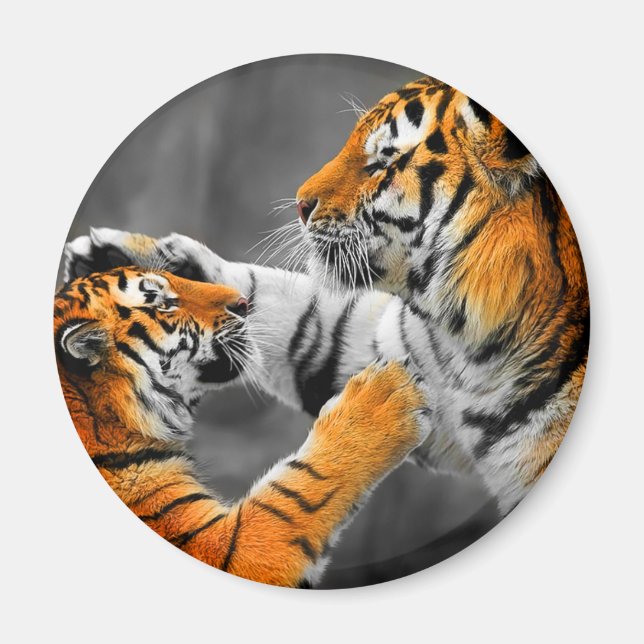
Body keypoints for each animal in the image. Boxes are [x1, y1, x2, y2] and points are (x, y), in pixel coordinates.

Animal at [54, 266, 430, 587]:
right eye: (163, 303)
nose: (243, 303)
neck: (108, 415)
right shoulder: (221, 545)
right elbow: (295, 491)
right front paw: (386, 394)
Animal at [64, 76, 589, 515]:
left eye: (384, 161)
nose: (300, 203)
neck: (470, 338)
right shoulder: (400, 360)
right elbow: (304, 321)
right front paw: (121, 257)